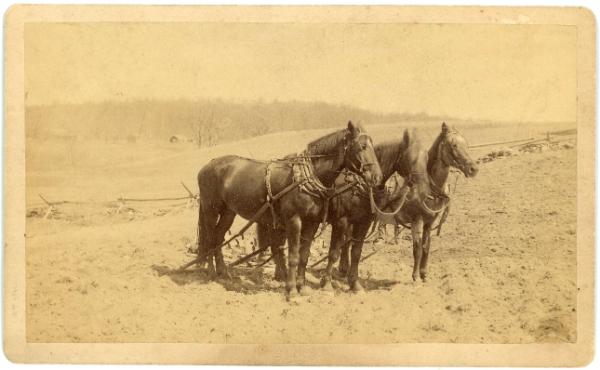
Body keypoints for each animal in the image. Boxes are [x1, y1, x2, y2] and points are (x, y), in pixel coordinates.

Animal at [198, 121, 384, 300]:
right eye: (362, 147)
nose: (377, 177)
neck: (308, 176)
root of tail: (207, 165)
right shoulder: (296, 221)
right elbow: (294, 257)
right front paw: (292, 290)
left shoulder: (312, 222)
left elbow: (304, 255)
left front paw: (302, 287)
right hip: (210, 209)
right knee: (209, 238)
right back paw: (211, 272)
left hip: (228, 212)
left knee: (218, 238)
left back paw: (223, 272)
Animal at [256, 129, 432, 294]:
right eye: (412, 159)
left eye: (427, 159)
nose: (425, 187)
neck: (358, 184)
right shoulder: (341, 222)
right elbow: (334, 252)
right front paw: (326, 283)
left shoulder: (363, 223)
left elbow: (356, 253)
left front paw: (354, 284)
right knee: (275, 244)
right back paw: (281, 275)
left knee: (277, 245)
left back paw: (281, 274)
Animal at [340, 121, 480, 280]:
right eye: (454, 145)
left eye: (466, 144)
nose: (473, 168)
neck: (430, 188)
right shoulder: (416, 220)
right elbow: (417, 248)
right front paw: (415, 277)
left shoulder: (429, 221)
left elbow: (426, 246)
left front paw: (424, 273)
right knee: (346, 240)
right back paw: (344, 268)